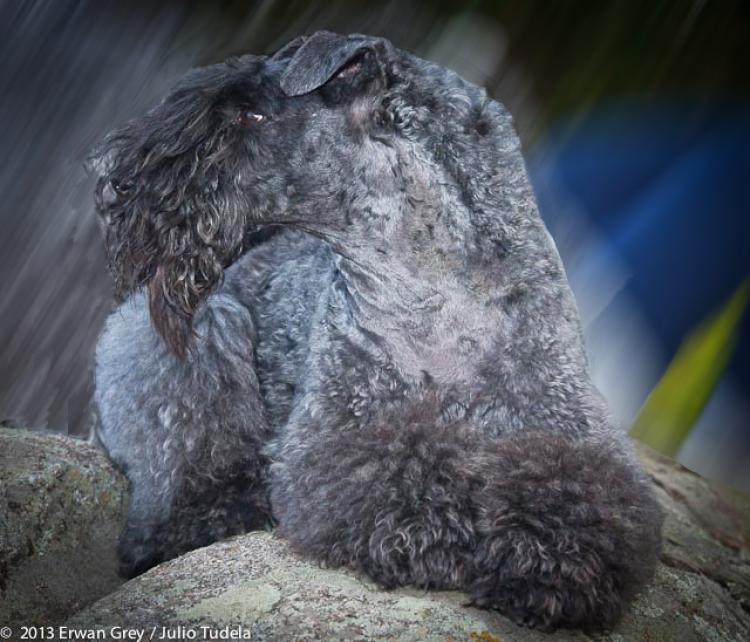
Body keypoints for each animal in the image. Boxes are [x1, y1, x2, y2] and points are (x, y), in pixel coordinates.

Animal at [89, 32, 664, 628]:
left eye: (252, 113)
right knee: (170, 502)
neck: (444, 298)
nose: (117, 179)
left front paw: (548, 560)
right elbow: (402, 479)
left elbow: (573, 490)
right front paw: (446, 535)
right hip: (206, 334)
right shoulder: (345, 435)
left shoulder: (573, 435)